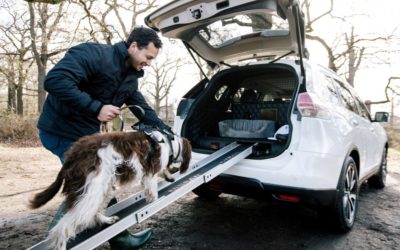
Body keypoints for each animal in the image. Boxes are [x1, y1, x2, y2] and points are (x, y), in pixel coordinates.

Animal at [29, 129, 191, 250]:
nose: (174, 176)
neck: (168, 142)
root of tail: (73, 155)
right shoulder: (150, 173)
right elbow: (153, 190)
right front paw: (156, 199)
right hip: (92, 190)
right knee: (62, 228)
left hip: (102, 186)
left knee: (92, 213)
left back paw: (106, 219)